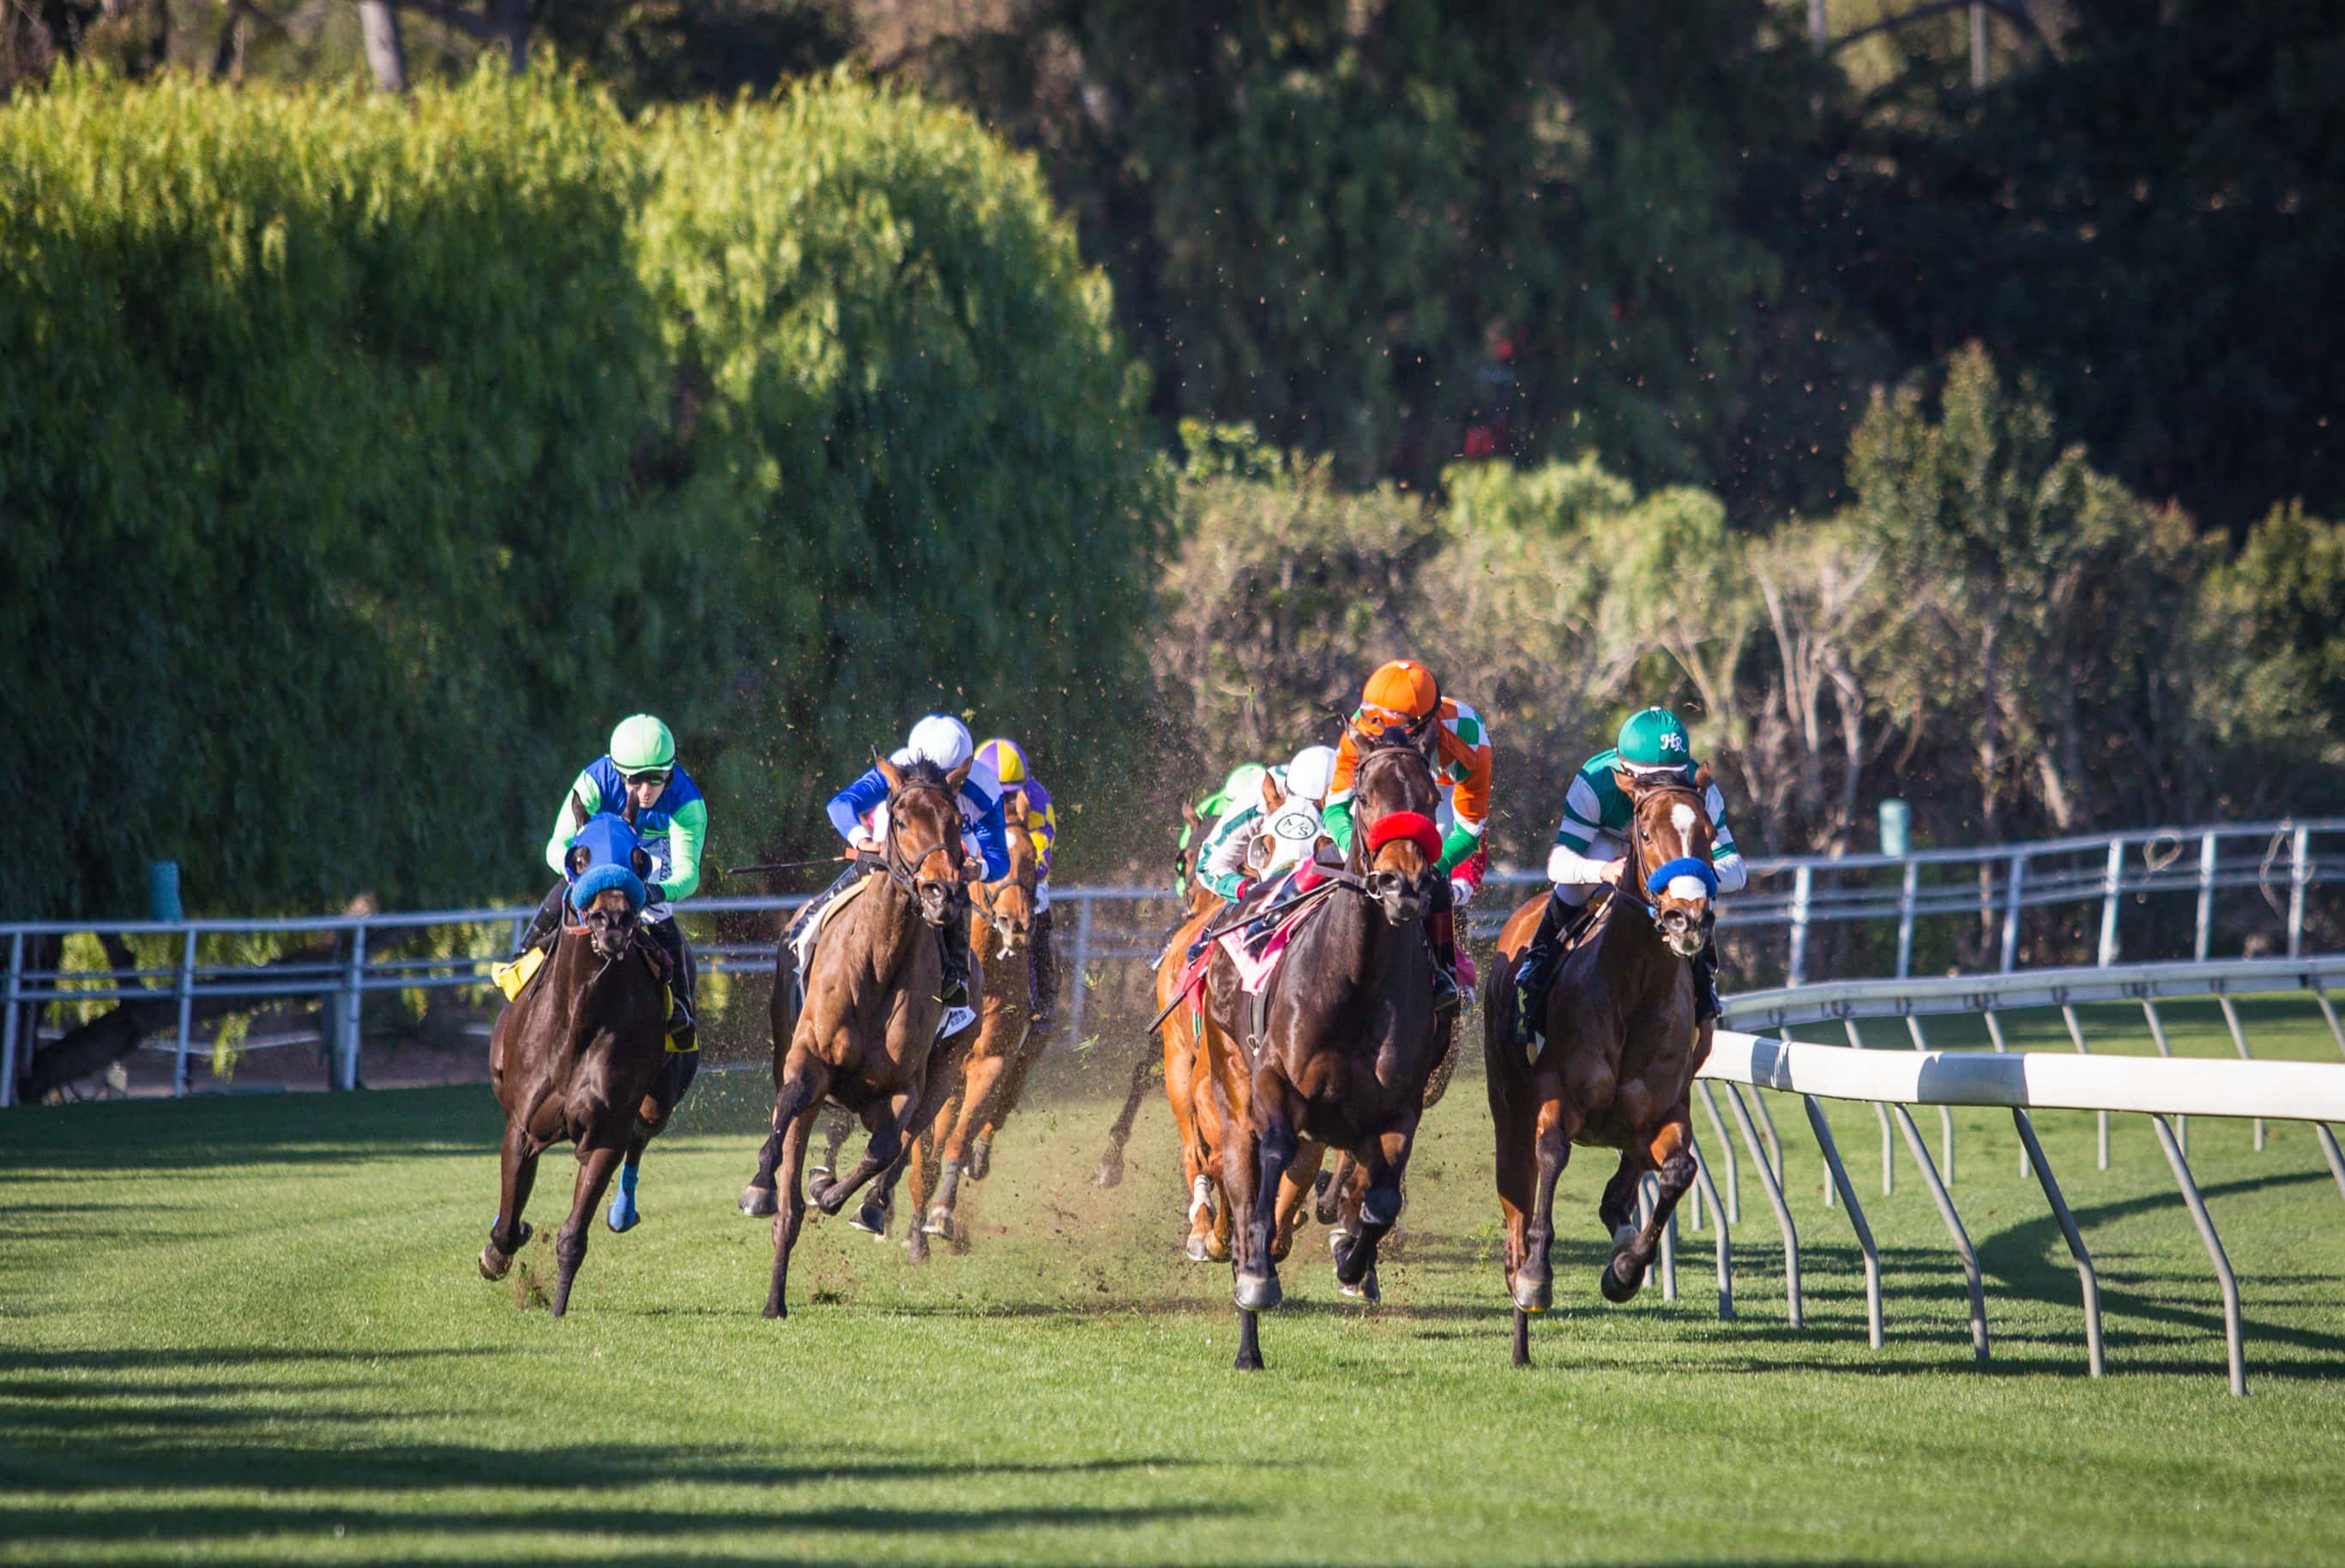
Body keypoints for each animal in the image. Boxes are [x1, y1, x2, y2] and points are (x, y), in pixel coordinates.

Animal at [478, 801, 679, 1312]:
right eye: (580, 855)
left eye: (639, 858)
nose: (612, 921)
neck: (580, 1020)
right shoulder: (523, 1126)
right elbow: (507, 1221)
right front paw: (500, 1249)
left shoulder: (605, 1132)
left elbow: (574, 1235)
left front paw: (558, 1306)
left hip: (658, 1100)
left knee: (642, 1134)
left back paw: (622, 1212)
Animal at [740, 750, 980, 1312]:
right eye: (899, 819)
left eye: (956, 821)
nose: (942, 894)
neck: (878, 963)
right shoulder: (807, 1058)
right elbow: (790, 1109)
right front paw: (762, 1187)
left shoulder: (907, 1084)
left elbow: (888, 1148)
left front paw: (837, 1197)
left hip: (942, 1075)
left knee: (907, 1147)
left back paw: (865, 1204)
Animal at [900, 797, 1040, 1256]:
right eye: (986, 859)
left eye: (1033, 860)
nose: (1016, 923)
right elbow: (919, 1150)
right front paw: (914, 1229)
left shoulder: (992, 1061)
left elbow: (958, 1138)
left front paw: (941, 1214)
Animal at [1209, 727, 1444, 1368]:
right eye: (1363, 797)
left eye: (1432, 797)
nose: (1402, 886)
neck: (1356, 982)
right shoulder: (1274, 1084)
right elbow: (1272, 1161)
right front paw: (1257, 1273)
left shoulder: (1399, 1111)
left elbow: (1381, 1200)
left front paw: (1353, 1261)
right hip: (1231, 1090)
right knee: (1244, 1187)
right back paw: (1247, 1333)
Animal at [1481, 763, 1726, 1359]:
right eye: (1646, 834)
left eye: (1708, 832)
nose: (1687, 920)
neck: (1633, 988)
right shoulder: (1555, 1098)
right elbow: (1551, 1156)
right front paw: (1537, 1276)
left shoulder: (1664, 1110)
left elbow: (1679, 1171)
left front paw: (1626, 1271)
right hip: (1507, 1108)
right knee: (1516, 1209)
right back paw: (1520, 1326)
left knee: (1624, 1187)